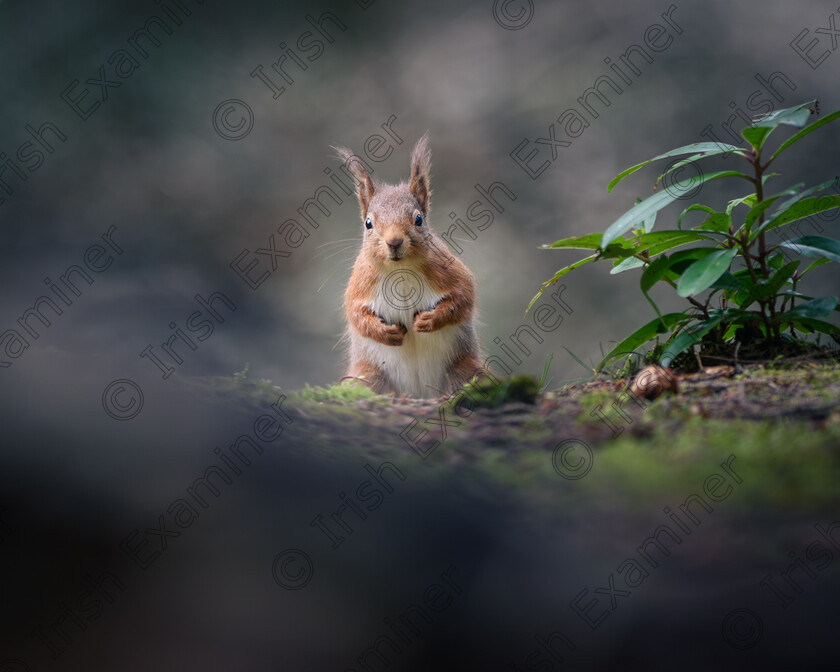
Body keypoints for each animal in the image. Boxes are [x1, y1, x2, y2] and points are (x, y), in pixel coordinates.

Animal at [334, 135, 480, 400]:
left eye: (419, 219)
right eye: (368, 223)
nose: (394, 241)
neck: (398, 271)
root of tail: (420, 394)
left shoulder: (449, 272)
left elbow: (464, 297)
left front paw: (428, 321)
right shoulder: (360, 284)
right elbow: (356, 315)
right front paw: (386, 333)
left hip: (464, 369)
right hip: (368, 375)